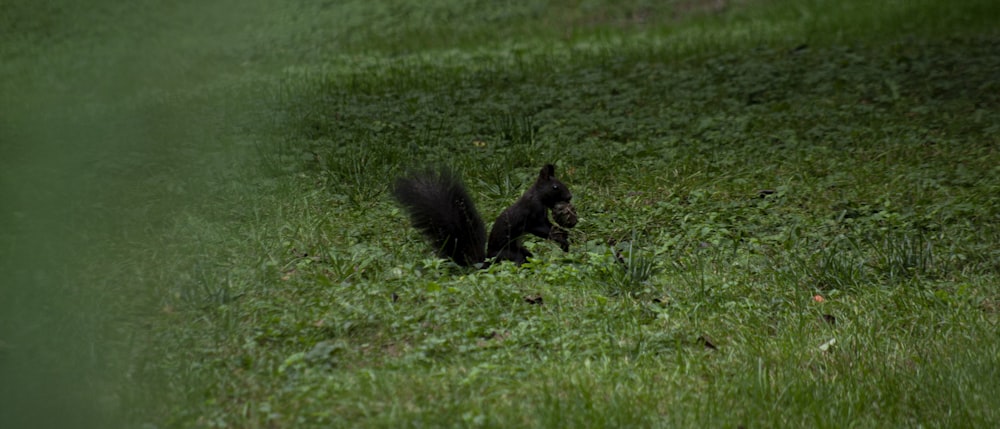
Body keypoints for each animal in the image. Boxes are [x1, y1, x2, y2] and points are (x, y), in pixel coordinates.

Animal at [392, 163, 580, 266]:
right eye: (555, 187)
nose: (569, 197)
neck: (537, 196)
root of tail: (486, 260)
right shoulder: (533, 214)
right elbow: (541, 229)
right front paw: (561, 238)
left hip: (520, 250)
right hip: (510, 254)